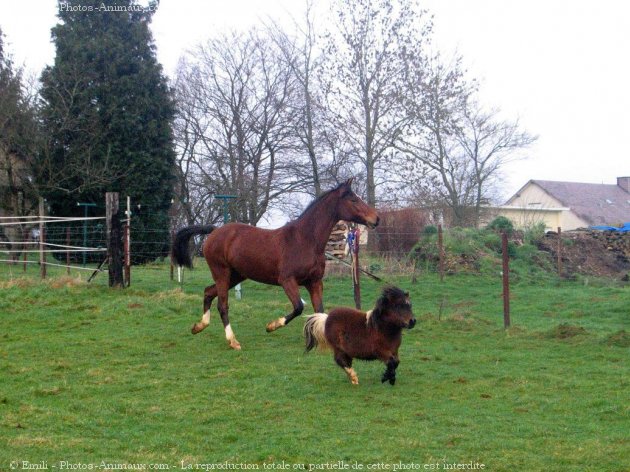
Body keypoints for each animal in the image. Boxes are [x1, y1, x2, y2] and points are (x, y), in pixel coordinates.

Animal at [170, 180, 380, 350]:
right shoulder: (287, 280)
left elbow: (319, 311)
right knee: (222, 305)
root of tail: (214, 231)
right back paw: (233, 341)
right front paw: (271, 326)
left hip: (236, 276)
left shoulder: (314, 282)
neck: (305, 240)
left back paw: (198, 327)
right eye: (353, 200)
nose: (376, 218)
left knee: (208, 292)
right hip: (222, 273)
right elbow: (299, 307)